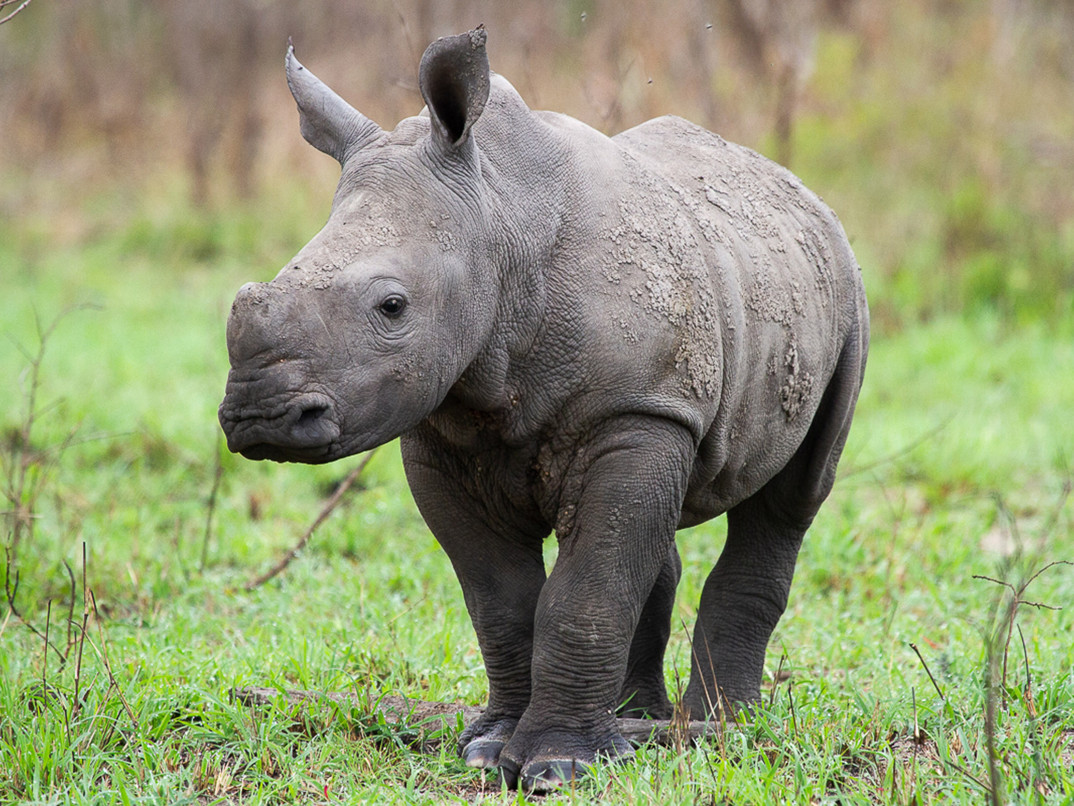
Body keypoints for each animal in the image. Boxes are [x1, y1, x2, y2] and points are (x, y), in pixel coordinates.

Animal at [218, 28, 869, 790]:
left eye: (392, 306)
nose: (260, 417)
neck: (500, 221)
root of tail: (798, 189)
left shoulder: (637, 409)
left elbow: (587, 591)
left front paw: (558, 766)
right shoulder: (441, 435)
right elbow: (503, 601)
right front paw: (492, 748)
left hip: (843, 298)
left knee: (791, 499)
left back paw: (720, 730)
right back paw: (638, 722)